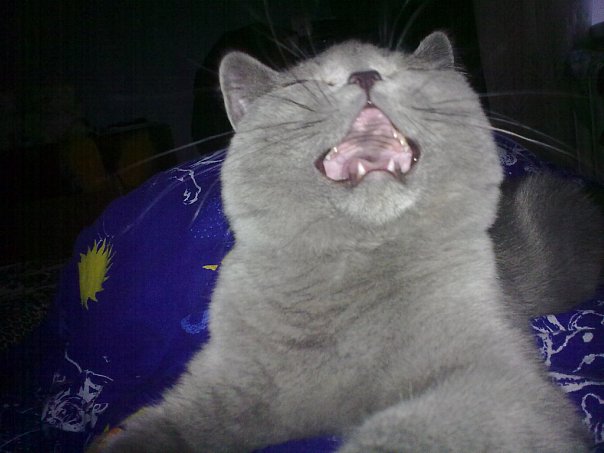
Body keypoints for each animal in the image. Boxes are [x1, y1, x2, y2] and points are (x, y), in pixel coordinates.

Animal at [96, 32, 603, 452]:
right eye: (306, 83)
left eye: (402, 69)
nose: (364, 73)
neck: (351, 272)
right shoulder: (224, 383)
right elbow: (162, 428)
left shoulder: (500, 379)